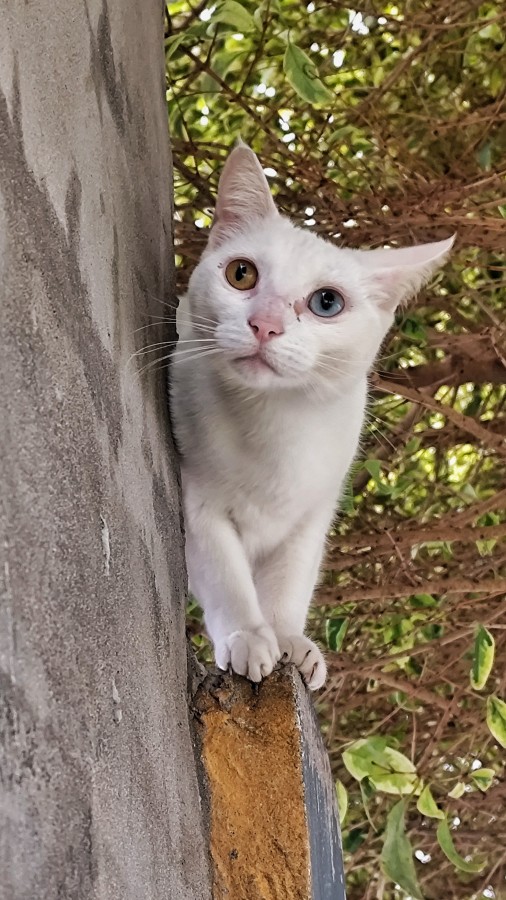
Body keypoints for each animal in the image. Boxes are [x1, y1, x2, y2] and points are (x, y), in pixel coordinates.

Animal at [171, 142, 454, 688]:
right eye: (241, 274)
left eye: (327, 302)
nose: (265, 324)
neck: (274, 424)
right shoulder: (198, 501)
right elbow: (225, 574)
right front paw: (249, 636)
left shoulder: (313, 513)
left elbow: (290, 582)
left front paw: (288, 640)